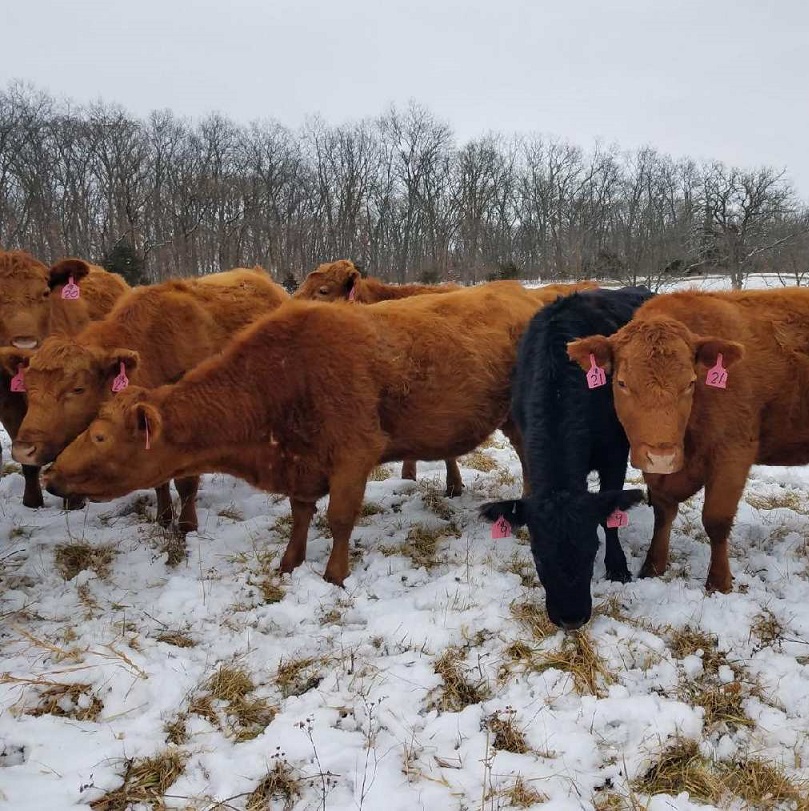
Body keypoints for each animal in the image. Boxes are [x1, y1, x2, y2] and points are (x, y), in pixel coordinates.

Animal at [0, 264, 288, 532]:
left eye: (78, 388)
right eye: (27, 388)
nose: (24, 449)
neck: (155, 348)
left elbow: (185, 482)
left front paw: (187, 526)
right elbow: (159, 481)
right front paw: (163, 518)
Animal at [44, 284, 548, 584]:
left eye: (100, 437)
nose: (50, 475)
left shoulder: (353, 453)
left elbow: (340, 518)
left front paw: (334, 575)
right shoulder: (303, 463)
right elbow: (301, 513)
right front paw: (290, 563)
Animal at [480, 288, 652, 632]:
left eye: (591, 550)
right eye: (537, 555)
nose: (571, 618)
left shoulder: (615, 454)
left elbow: (609, 515)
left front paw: (617, 567)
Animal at [564, 288, 809, 592]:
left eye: (691, 383)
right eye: (621, 383)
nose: (662, 456)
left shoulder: (734, 452)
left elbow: (716, 519)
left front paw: (719, 582)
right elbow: (663, 512)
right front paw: (653, 566)